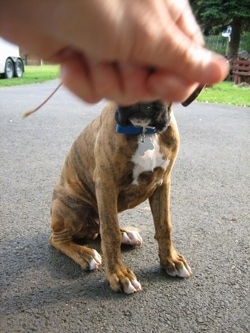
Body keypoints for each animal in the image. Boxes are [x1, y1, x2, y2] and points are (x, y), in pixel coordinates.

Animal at [49, 100, 192, 294]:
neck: (144, 131)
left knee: (100, 228)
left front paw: (171, 260)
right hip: (74, 207)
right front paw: (119, 274)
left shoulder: (163, 182)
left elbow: (164, 226)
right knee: (59, 239)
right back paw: (86, 255)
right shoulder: (106, 185)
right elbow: (110, 233)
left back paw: (126, 234)